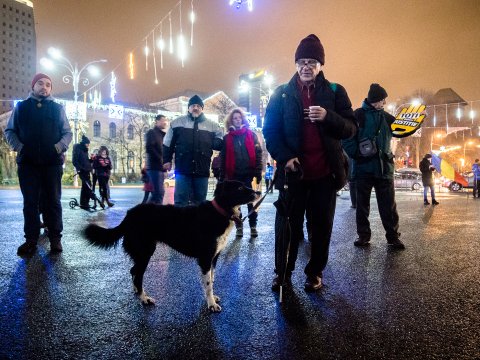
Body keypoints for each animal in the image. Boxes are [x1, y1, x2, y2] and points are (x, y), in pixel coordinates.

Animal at [84, 180, 260, 312]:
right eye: (239, 188)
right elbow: (208, 283)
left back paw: (137, 291)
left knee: (133, 271)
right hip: (145, 251)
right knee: (138, 274)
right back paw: (144, 298)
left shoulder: (214, 257)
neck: (220, 212)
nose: (258, 193)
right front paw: (211, 304)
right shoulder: (205, 258)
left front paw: (212, 298)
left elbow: (211, 279)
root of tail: (129, 215)